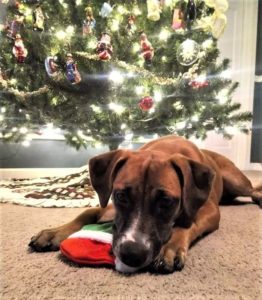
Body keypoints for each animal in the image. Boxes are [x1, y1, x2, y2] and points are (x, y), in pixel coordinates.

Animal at [29, 136, 262, 274]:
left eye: (166, 201)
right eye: (121, 196)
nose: (132, 253)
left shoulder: (209, 210)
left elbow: (186, 223)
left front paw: (171, 248)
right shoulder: (109, 205)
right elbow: (86, 213)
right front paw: (54, 233)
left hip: (236, 180)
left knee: (252, 190)